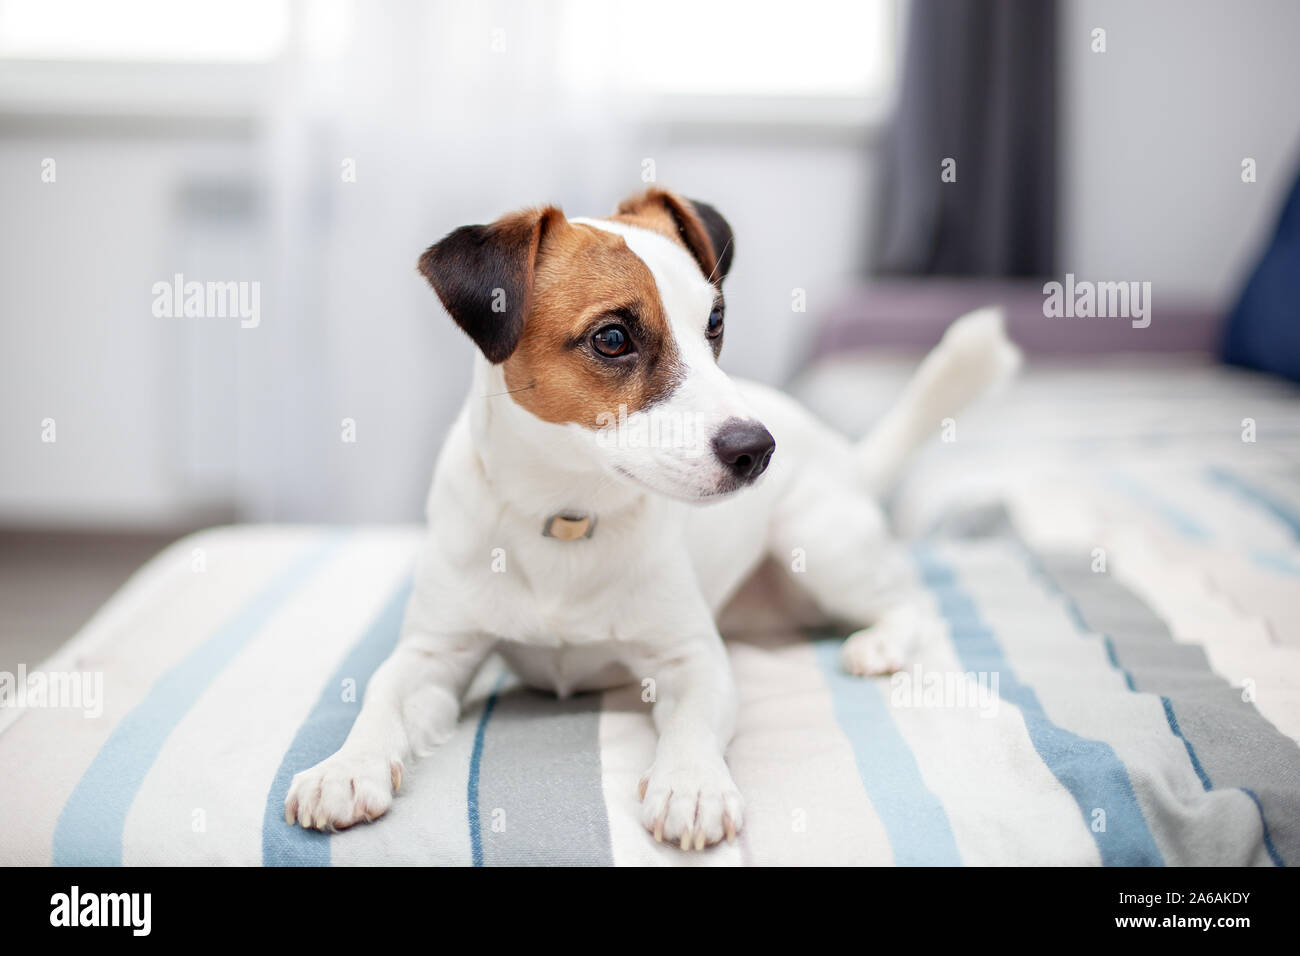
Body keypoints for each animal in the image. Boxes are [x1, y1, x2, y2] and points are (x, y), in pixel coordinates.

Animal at [287, 187, 1024, 853]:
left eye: (715, 322)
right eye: (613, 338)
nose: (757, 450)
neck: (567, 516)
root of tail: (843, 451)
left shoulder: (690, 658)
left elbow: (694, 723)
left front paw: (691, 783)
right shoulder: (434, 654)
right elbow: (382, 694)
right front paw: (344, 767)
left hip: (822, 548)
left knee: (911, 601)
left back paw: (881, 642)